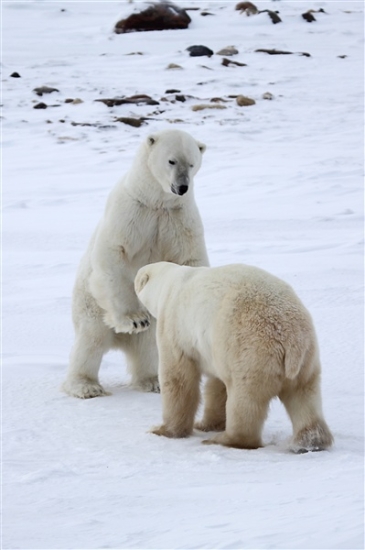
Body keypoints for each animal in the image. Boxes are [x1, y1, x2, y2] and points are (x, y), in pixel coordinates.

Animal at [62, 130, 208, 402]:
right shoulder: (130, 211)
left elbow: (191, 259)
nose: (182, 187)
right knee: (91, 340)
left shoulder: (180, 216)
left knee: (148, 346)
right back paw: (86, 386)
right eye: (172, 161)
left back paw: (153, 380)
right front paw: (134, 320)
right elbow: (113, 253)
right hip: (89, 305)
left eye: (192, 164)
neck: (157, 201)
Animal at [134, 264, 332, 452]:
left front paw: (163, 430)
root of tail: (290, 339)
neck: (169, 283)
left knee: (245, 400)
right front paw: (206, 424)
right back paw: (310, 441)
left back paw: (224, 439)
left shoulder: (174, 326)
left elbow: (178, 379)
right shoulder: (215, 349)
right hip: (307, 358)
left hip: (251, 349)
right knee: (304, 394)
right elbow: (217, 384)